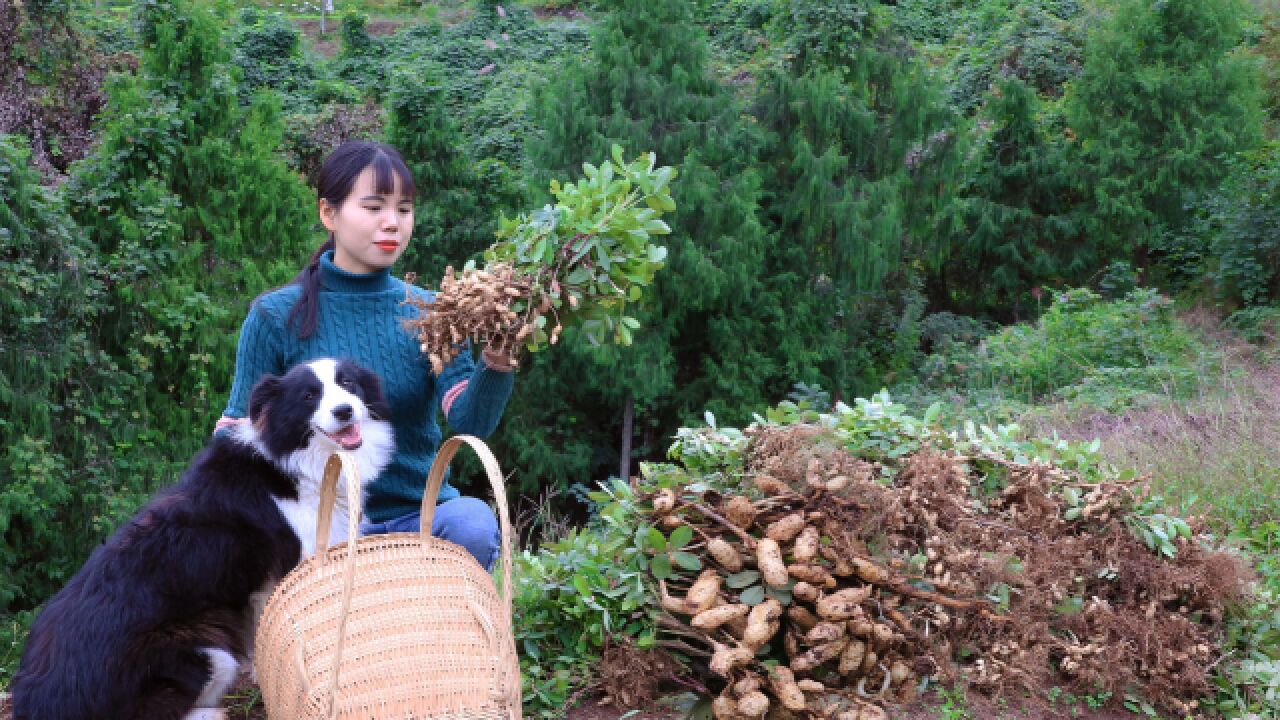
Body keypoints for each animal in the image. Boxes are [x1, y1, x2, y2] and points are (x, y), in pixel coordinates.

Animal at [10, 356, 391, 712]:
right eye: (309, 396)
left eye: (348, 382)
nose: (344, 411)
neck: (296, 463)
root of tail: (37, 700)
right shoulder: (288, 570)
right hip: (207, 650)